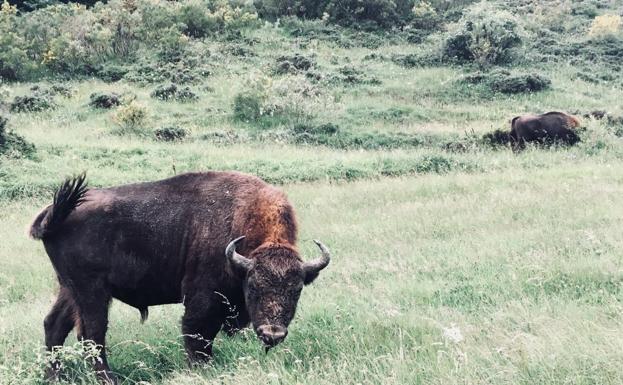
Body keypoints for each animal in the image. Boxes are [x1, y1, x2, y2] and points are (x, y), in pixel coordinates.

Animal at [30, 172, 332, 382]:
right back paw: (108, 379)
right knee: (92, 334)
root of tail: (53, 214)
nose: (272, 333)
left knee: (54, 325)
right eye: (254, 287)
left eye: (296, 290)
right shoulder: (202, 300)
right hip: (91, 291)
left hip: (69, 288)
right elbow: (197, 338)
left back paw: (53, 377)